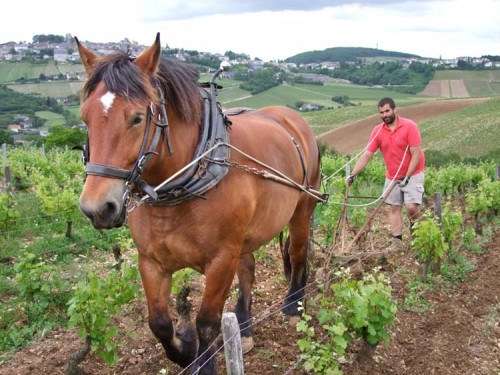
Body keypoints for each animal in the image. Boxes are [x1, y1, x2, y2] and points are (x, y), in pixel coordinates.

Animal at [74, 33, 324, 374]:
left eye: (137, 117)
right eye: (85, 117)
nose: (97, 208)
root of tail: (292, 118)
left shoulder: (221, 260)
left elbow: (207, 323)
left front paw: (203, 361)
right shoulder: (150, 261)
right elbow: (159, 323)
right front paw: (185, 349)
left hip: (302, 207)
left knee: (298, 254)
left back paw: (293, 305)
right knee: (249, 269)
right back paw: (244, 328)